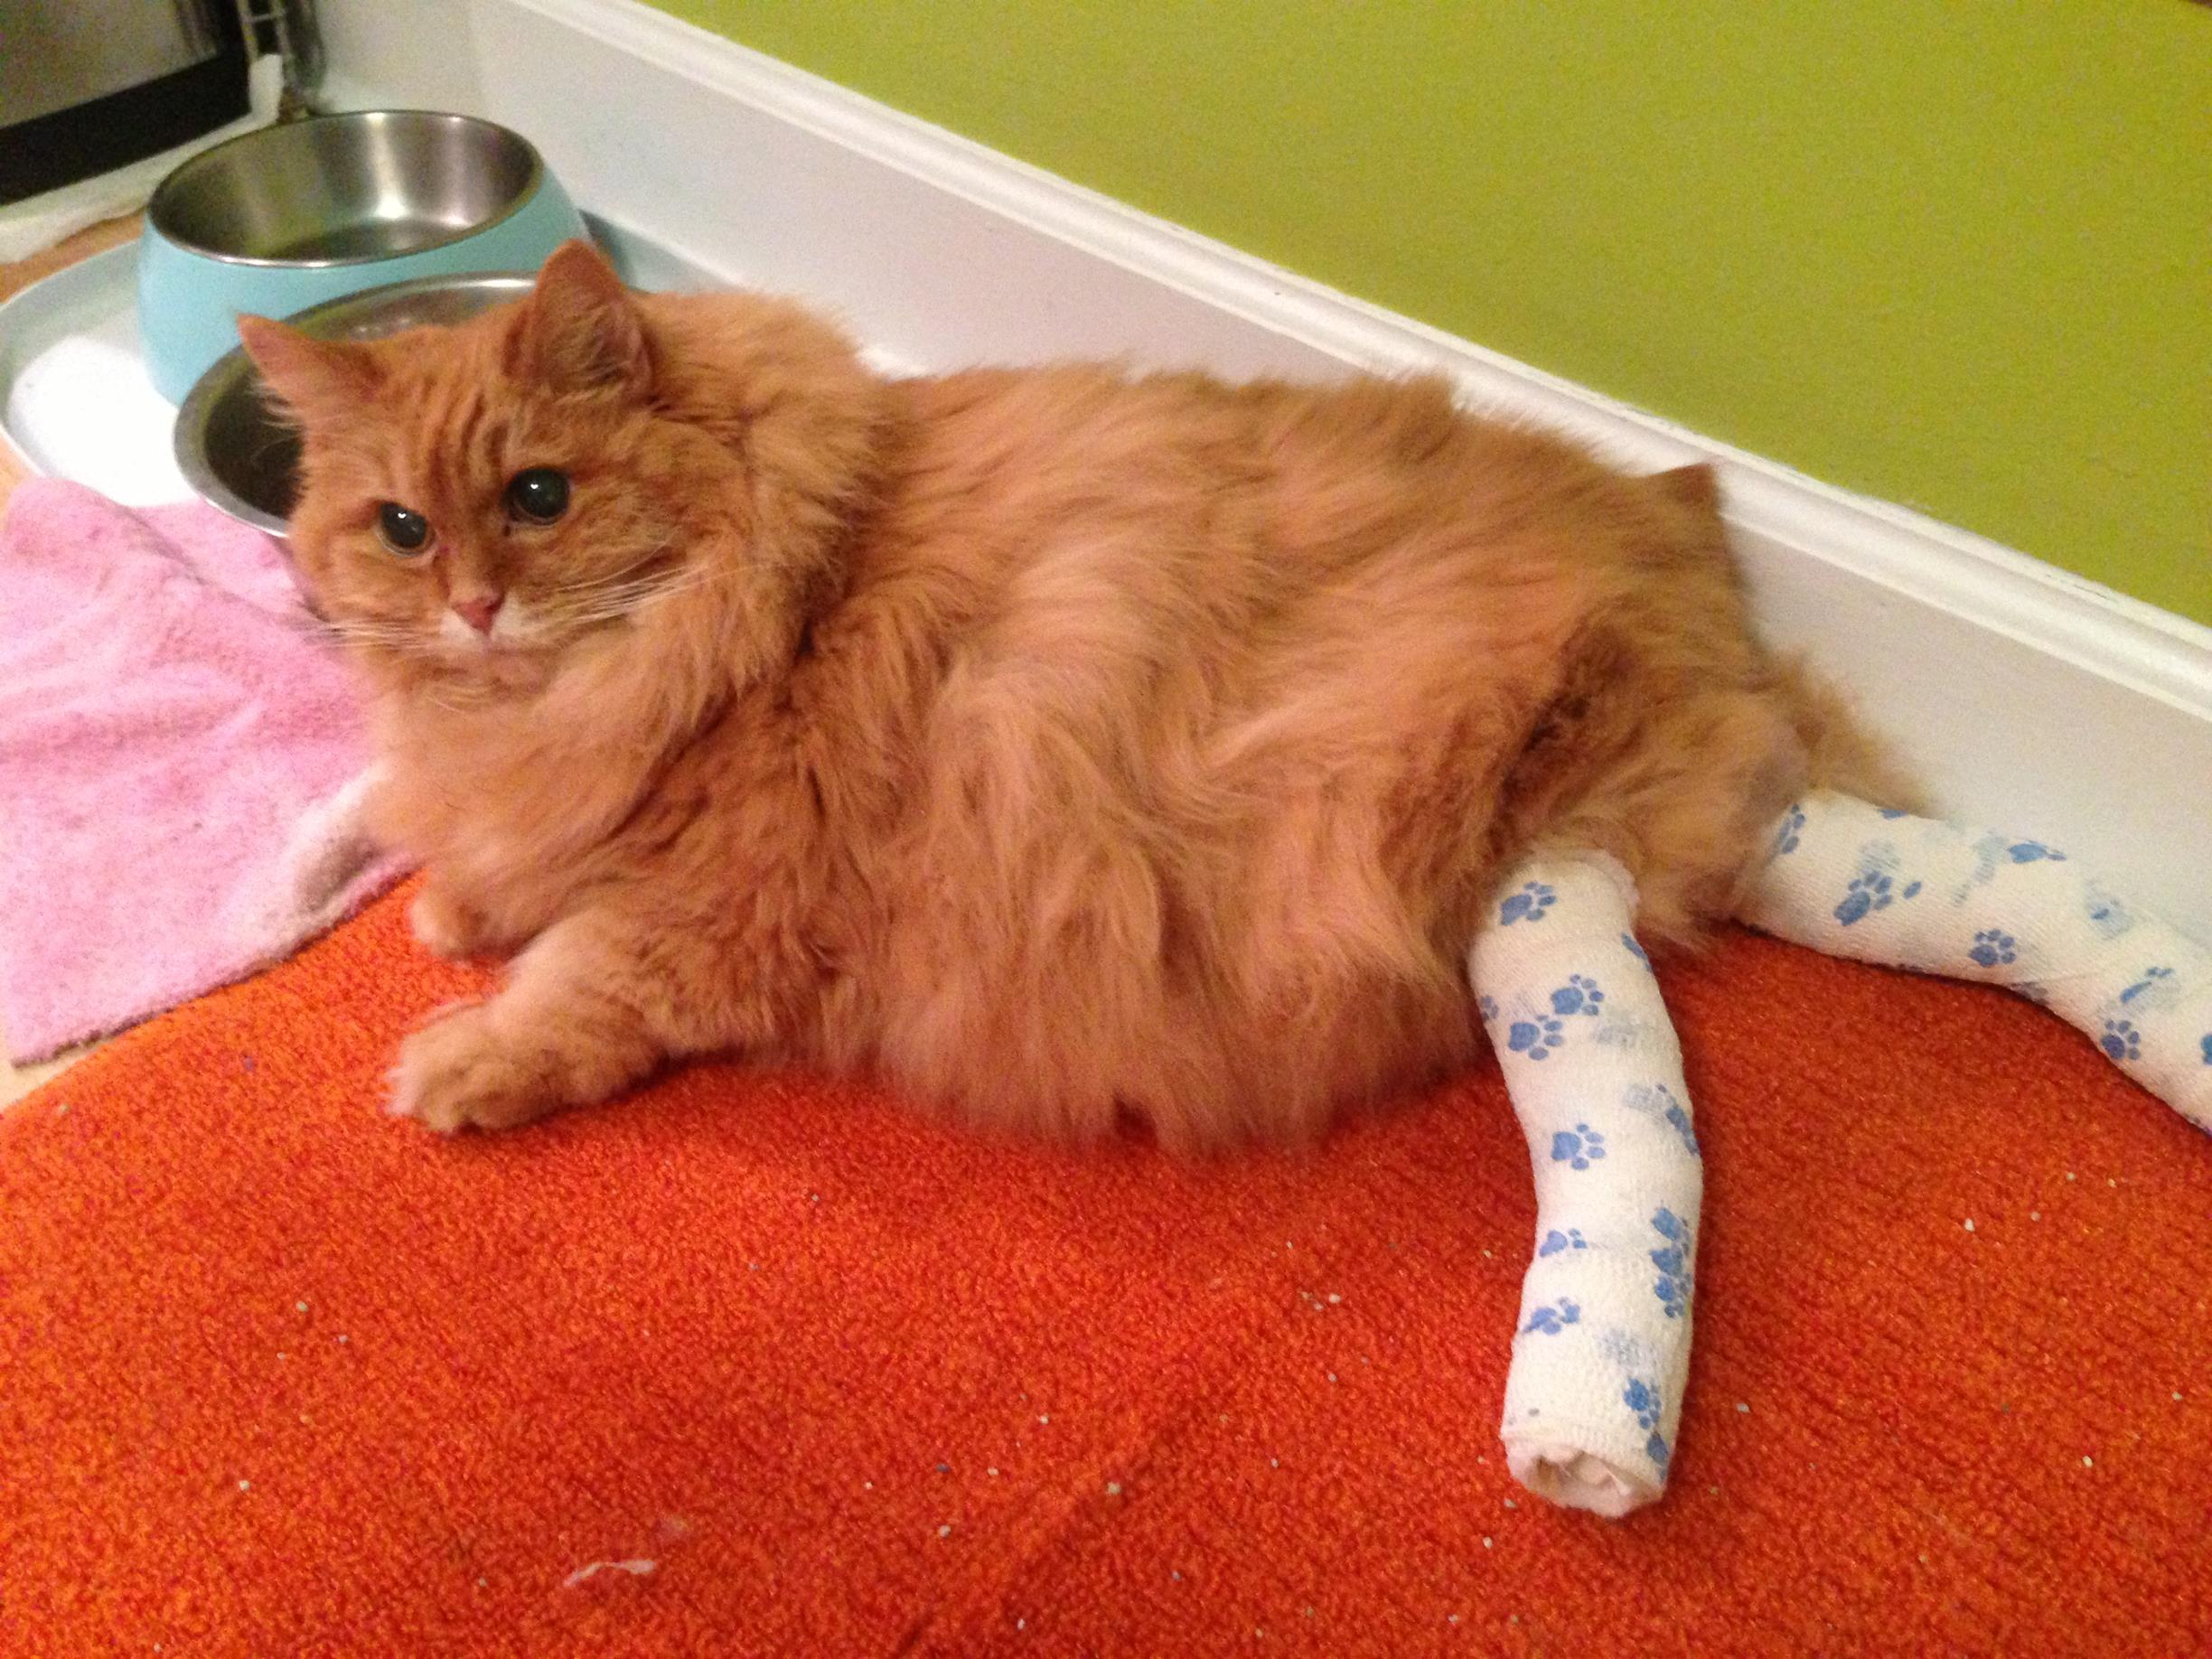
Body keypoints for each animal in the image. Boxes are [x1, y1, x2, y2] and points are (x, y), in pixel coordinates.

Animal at [242, 246, 1875, 1149]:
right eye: (401, 528)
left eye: (539, 496)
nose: (471, 603)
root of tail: (1672, 524)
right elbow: (501, 873)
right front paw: (457, 903)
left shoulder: (713, 913)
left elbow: (572, 985)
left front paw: (461, 1057)